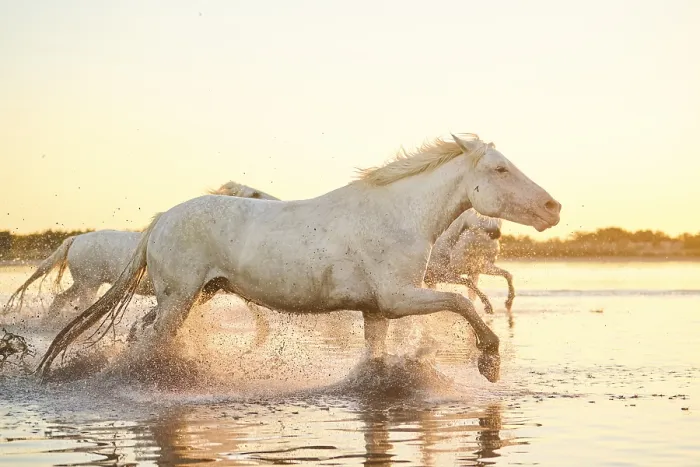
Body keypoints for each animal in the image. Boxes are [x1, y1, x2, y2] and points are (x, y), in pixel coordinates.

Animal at [2, 181, 278, 317]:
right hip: (88, 284)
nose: (278, 202)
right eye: (255, 194)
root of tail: (77, 239)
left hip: (82, 282)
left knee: (60, 300)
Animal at [36, 133, 561, 383]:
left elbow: (378, 355)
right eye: (500, 169)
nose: (553, 207)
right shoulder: (400, 297)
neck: (398, 215)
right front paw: (489, 361)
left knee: (140, 332)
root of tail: (163, 218)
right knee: (149, 342)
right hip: (179, 299)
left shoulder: (378, 311)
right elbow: (463, 303)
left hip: (196, 295)